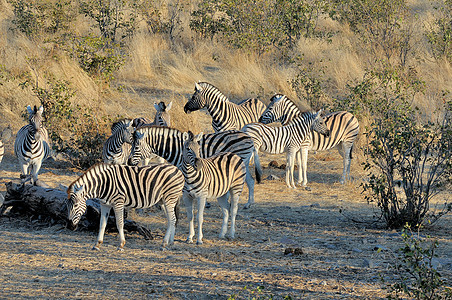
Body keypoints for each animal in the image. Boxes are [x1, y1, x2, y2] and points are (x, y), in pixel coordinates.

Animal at [127, 126, 258, 209]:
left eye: (136, 146)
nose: (128, 161)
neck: (176, 148)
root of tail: (248, 137)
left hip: (241, 161)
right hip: (243, 163)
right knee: (251, 181)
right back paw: (249, 204)